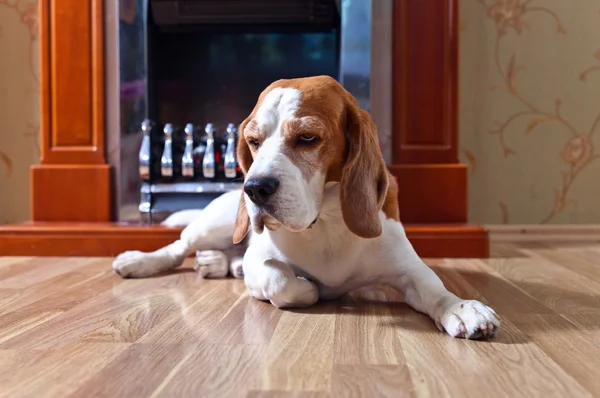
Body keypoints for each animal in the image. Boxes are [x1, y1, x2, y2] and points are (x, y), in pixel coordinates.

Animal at [113, 76, 502, 340]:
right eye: (252, 142)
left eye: (307, 138)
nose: (254, 188)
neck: (325, 222)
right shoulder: (262, 260)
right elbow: (281, 278)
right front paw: (310, 288)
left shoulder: (408, 269)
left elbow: (435, 287)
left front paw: (461, 308)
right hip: (216, 223)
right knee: (178, 247)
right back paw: (139, 260)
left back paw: (217, 263)